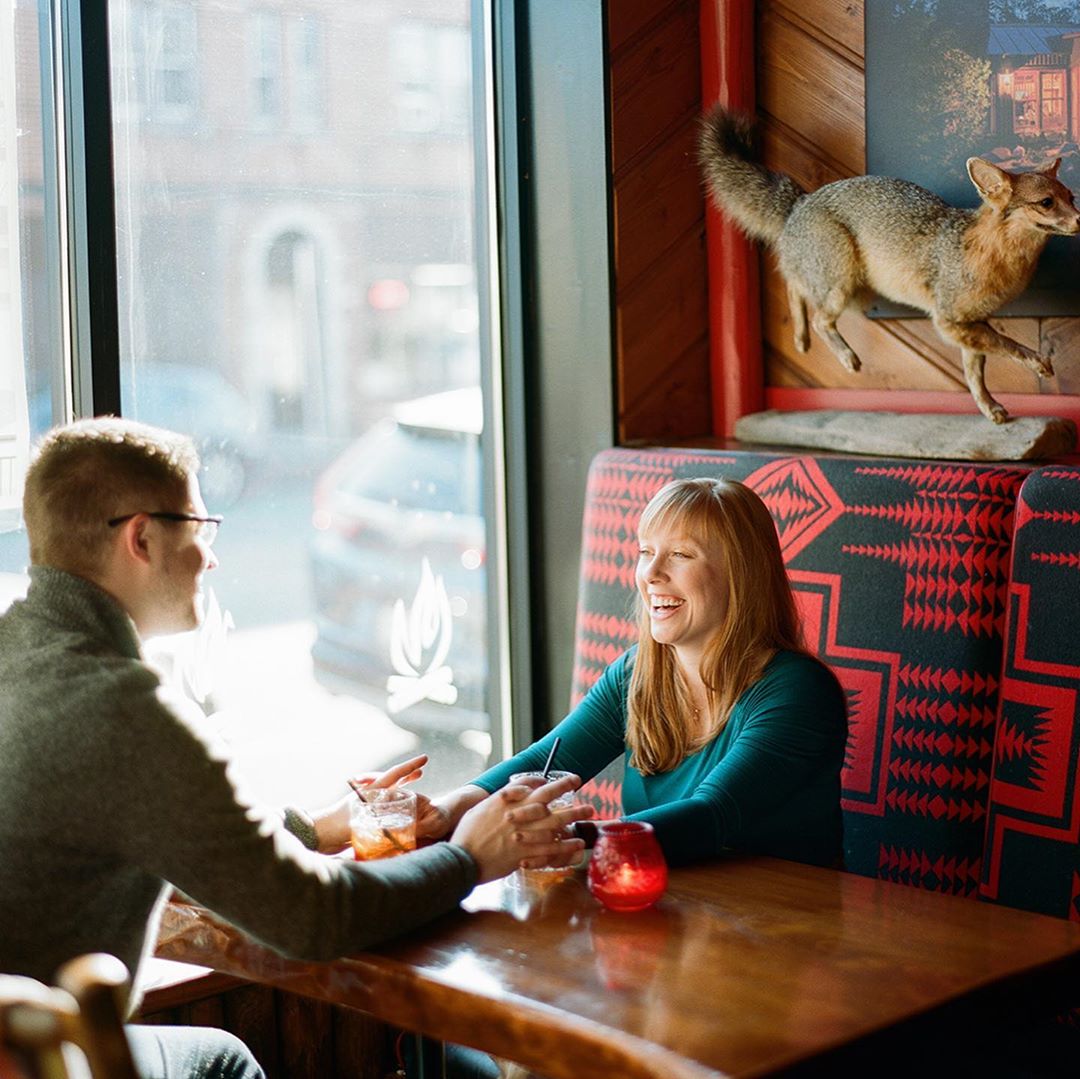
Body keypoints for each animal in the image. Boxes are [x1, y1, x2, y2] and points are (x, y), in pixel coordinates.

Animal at [699, 107, 1080, 423]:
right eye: (1047, 203)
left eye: (1071, 197)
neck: (991, 253)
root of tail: (802, 200)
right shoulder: (948, 321)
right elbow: (1006, 344)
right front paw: (1038, 363)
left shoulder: (970, 324)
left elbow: (975, 373)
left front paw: (988, 407)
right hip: (841, 283)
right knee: (819, 315)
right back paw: (844, 354)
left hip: (825, 276)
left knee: (794, 282)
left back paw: (800, 337)